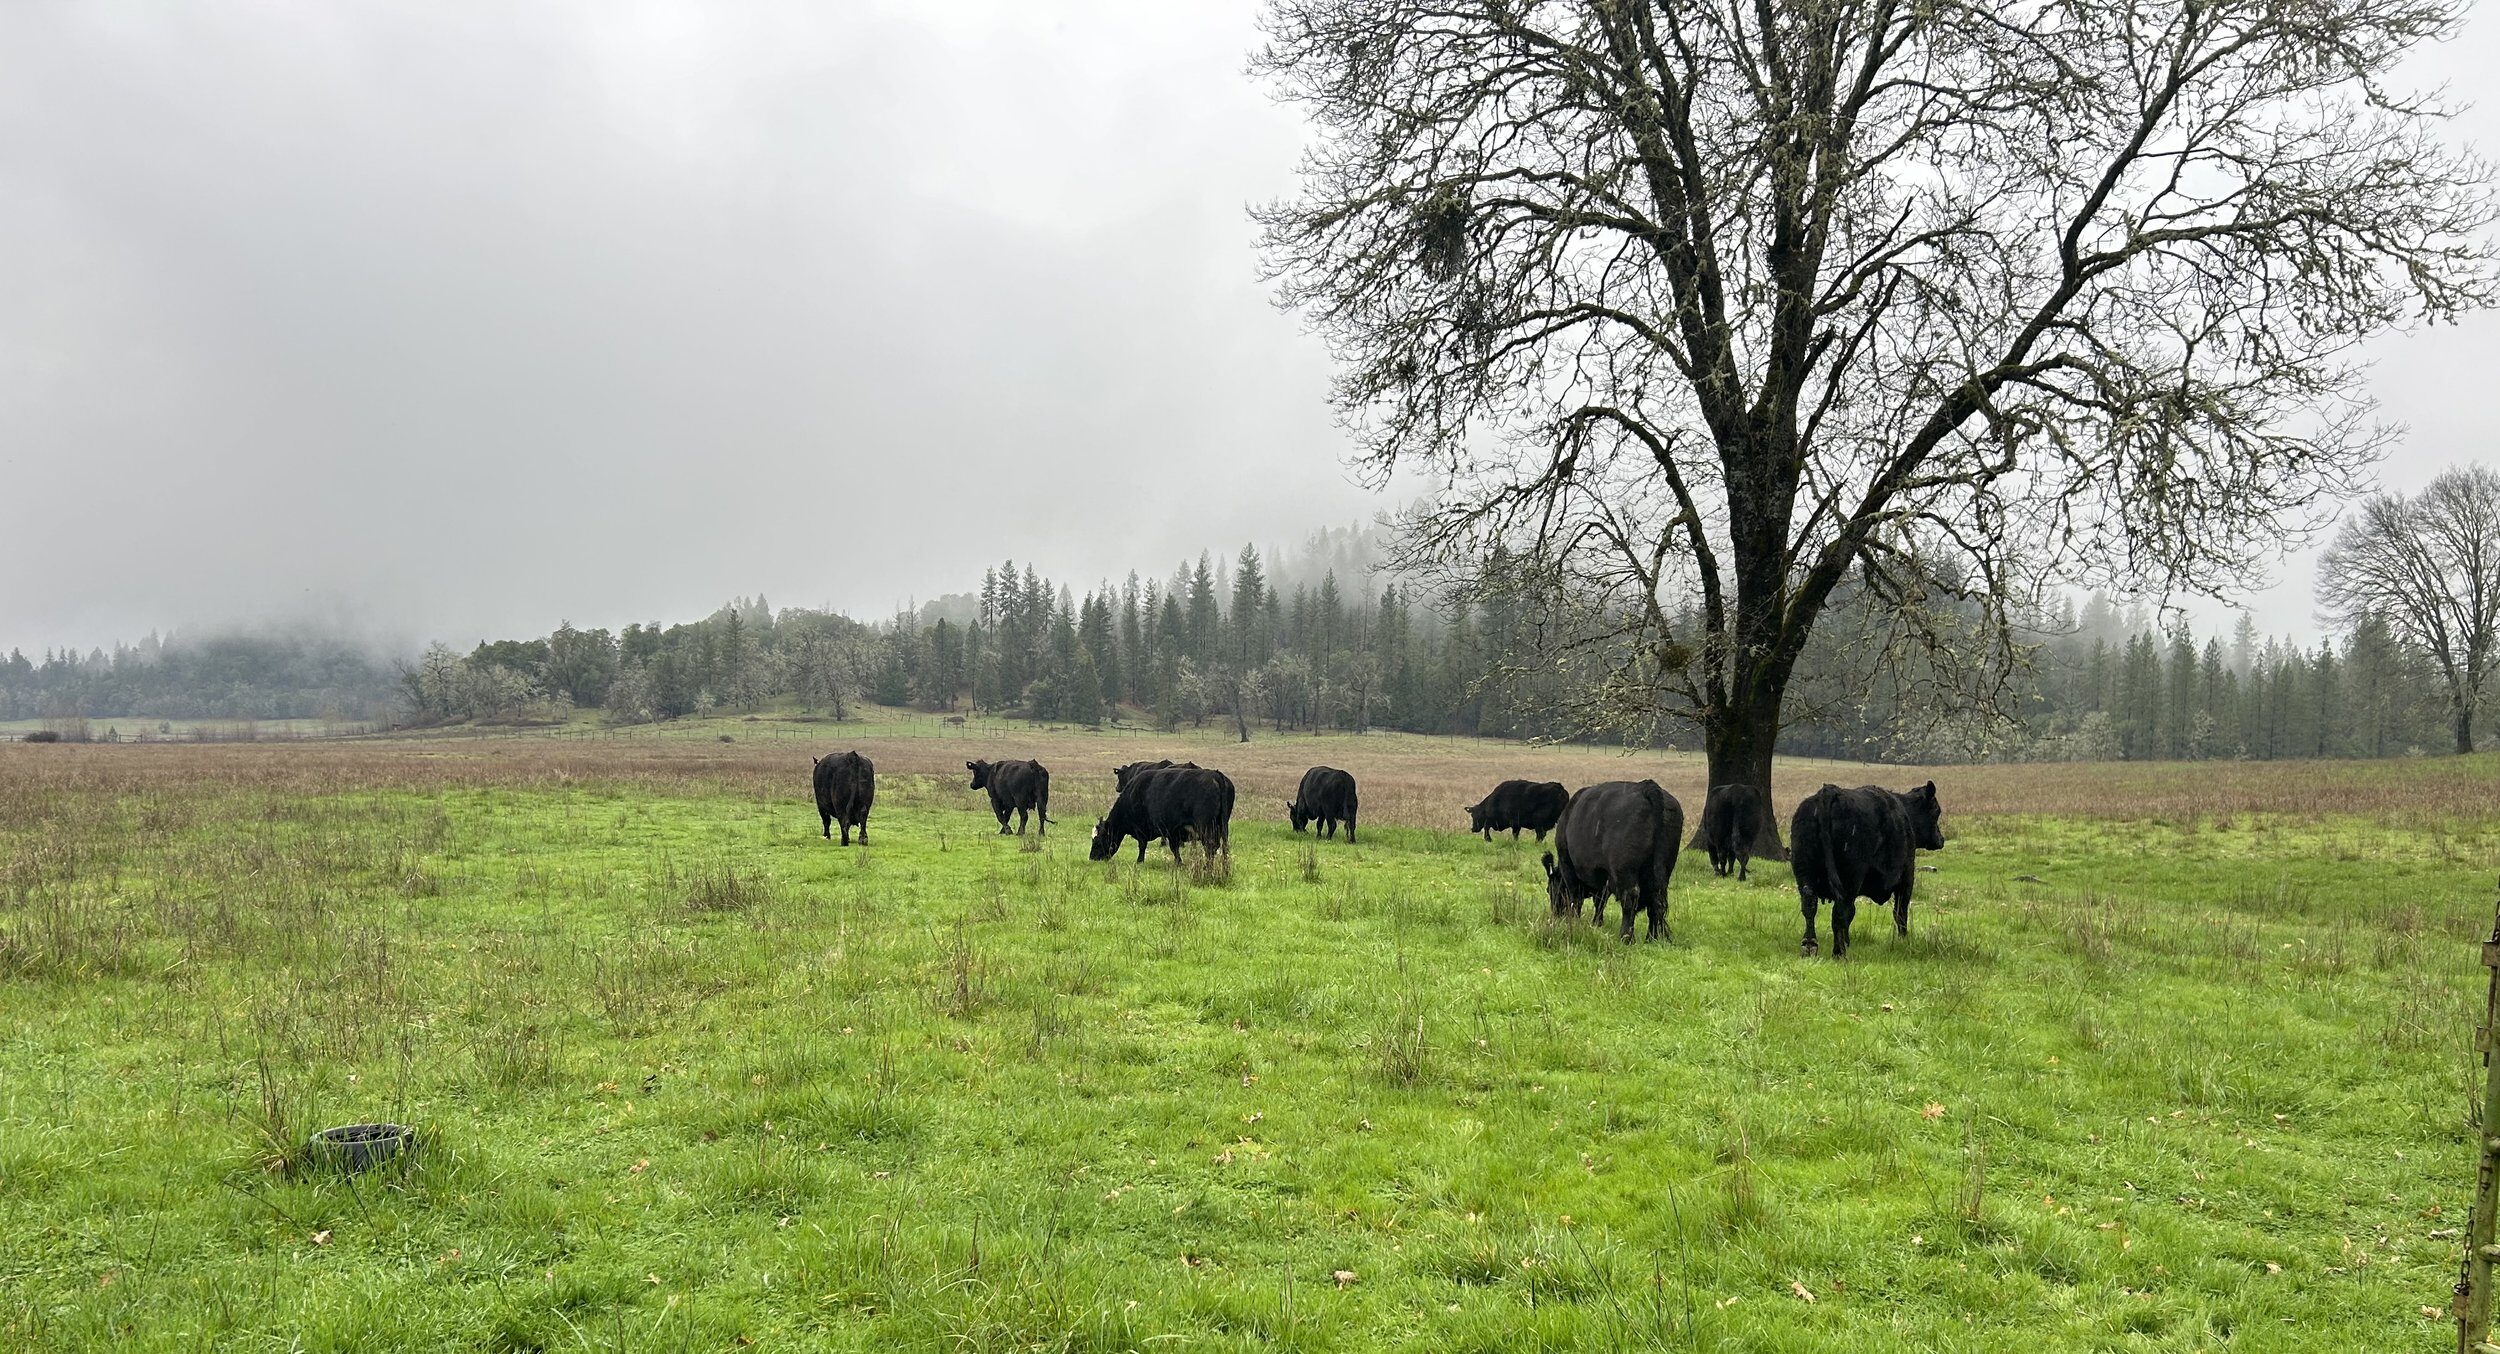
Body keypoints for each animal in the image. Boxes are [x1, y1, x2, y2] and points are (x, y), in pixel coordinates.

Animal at [1090, 766, 1235, 864]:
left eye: (1097, 840)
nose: (1092, 858)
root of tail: (1216, 775)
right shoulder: (1173, 832)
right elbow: (1174, 848)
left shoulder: (1151, 829)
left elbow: (1144, 846)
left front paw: (1140, 861)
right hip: (1223, 826)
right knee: (1223, 846)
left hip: (1206, 828)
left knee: (1211, 847)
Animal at [1541, 780, 1683, 943]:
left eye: (1549, 890)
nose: (1556, 914)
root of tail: (1647, 786)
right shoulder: (1604, 876)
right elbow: (1600, 901)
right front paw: (1597, 924)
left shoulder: (1569, 867)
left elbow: (1576, 899)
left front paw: (1575, 923)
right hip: (1664, 868)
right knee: (1657, 900)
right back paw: (1652, 938)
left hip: (1625, 869)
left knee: (1630, 897)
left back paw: (1626, 937)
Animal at [1790, 781, 1946, 958]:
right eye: (1936, 811)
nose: (1941, 839)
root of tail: (1829, 791)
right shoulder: (1907, 877)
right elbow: (1900, 911)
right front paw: (1903, 940)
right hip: (1850, 879)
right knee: (1840, 912)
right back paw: (1839, 953)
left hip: (1804, 874)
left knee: (1810, 906)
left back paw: (1810, 946)